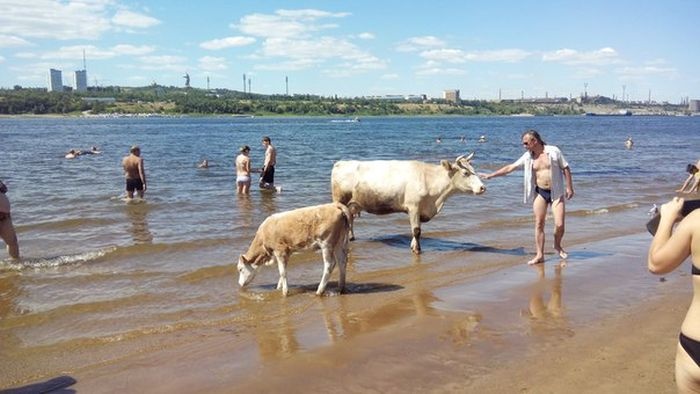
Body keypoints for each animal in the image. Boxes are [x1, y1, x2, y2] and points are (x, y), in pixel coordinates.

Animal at [330, 152, 484, 254]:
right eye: (465, 173)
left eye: (474, 170)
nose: (483, 187)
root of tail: (341, 162)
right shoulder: (414, 206)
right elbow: (416, 230)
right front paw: (417, 249)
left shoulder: (420, 209)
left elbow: (417, 230)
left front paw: (413, 245)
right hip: (340, 200)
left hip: (353, 204)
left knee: (350, 219)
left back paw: (351, 237)